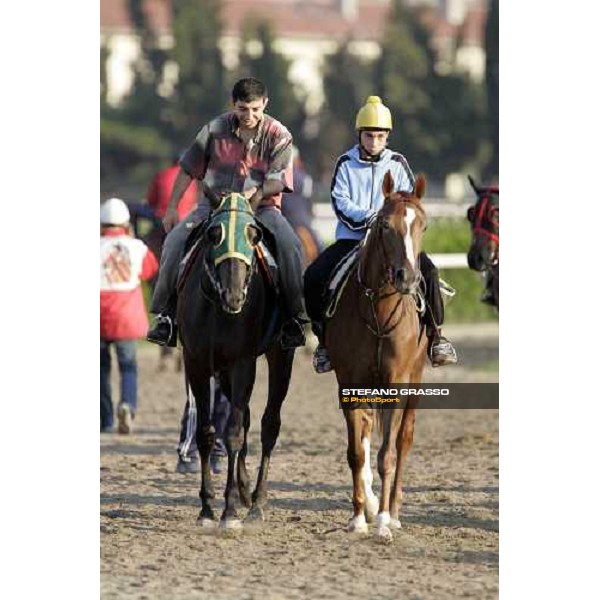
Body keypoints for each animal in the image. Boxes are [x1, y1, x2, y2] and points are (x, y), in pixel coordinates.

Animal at [326, 171, 428, 540]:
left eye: (423, 225)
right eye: (384, 225)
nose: (407, 277)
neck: (379, 311)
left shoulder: (397, 383)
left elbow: (387, 455)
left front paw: (383, 521)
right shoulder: (350, 383)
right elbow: (357, 452)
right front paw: (358, 518)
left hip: (415, 379)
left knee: (403, 441)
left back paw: (393, 513)